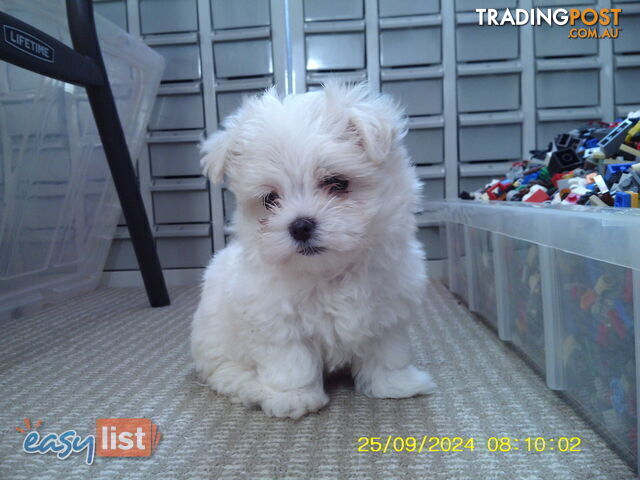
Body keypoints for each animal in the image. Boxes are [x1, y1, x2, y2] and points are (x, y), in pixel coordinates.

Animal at [192, 81, 438, 416]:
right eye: (270, 199)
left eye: (336, 182)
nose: (300, 226)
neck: (331, 273)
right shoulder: (273, 318)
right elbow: (291, 361)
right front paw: (293, 399)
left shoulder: (388, 309)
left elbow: (388, 351)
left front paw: (394, 385)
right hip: (216, 342)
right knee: (223, 370)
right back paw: (249, 386)